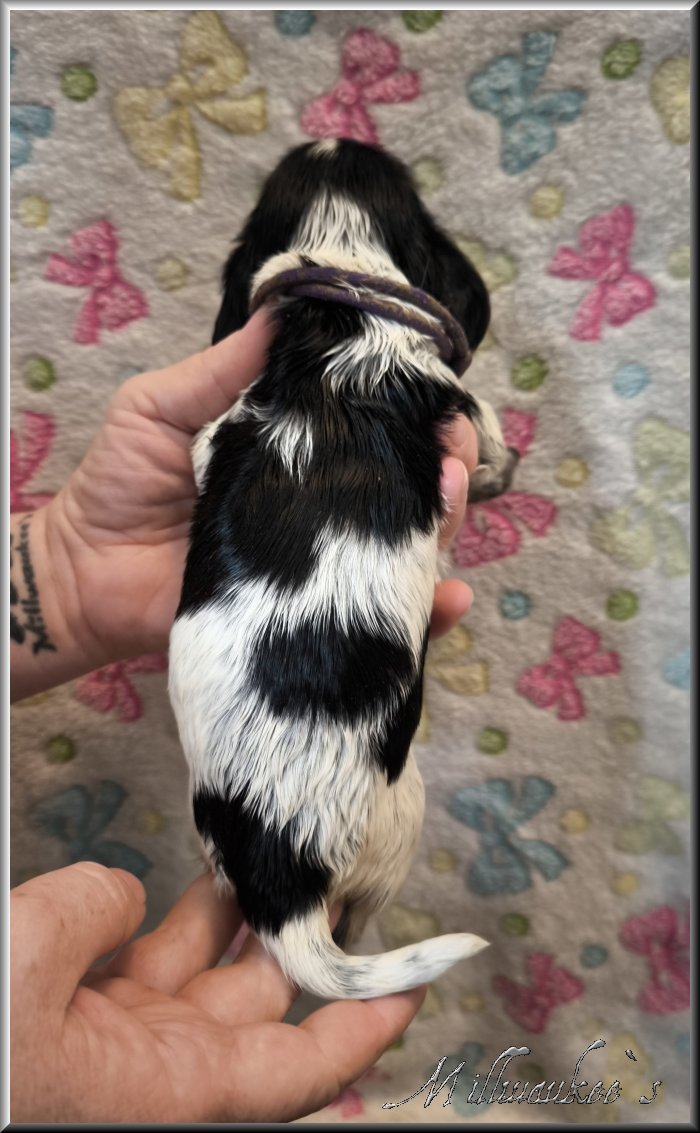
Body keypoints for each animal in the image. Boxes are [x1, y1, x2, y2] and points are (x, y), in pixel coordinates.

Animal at [168, 139, 518, 1000]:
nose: (338, 132)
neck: (341, 301)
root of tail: (283, 886)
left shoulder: (212, 433)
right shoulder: (454, 391)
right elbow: (489, 425)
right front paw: (502, 472)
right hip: (403, 812)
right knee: (362, 918)